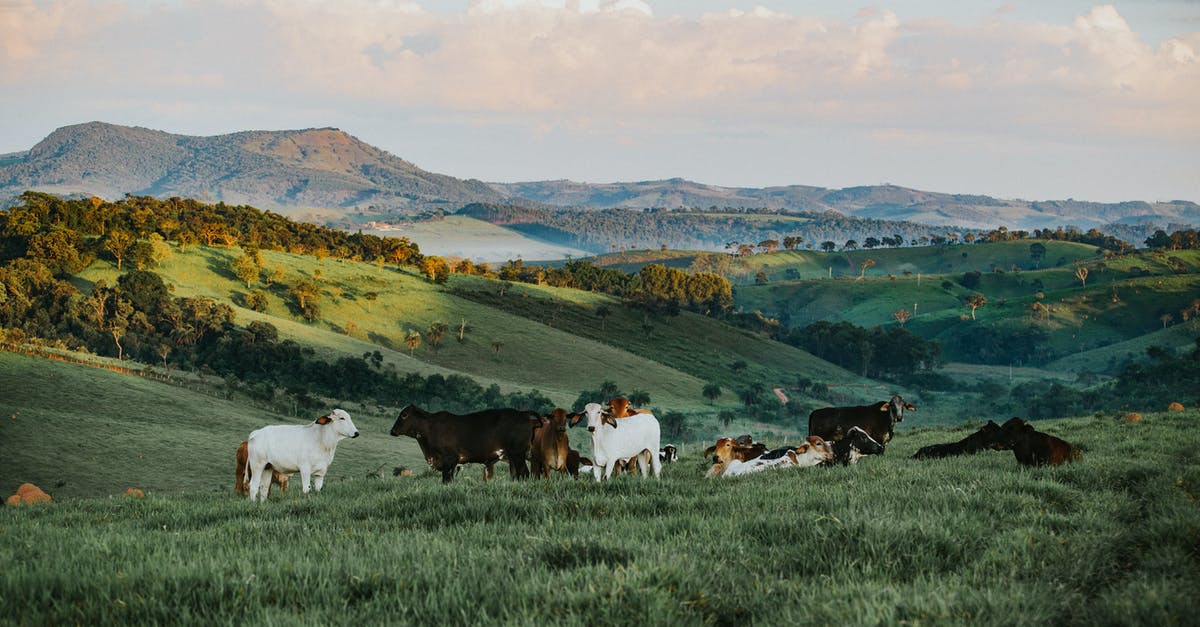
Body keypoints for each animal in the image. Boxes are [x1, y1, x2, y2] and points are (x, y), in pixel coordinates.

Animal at [388, 403, 540, 480]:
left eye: (404, 414)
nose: (392, 431)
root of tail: (522, 414)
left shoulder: (449, 459)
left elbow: (446, 479)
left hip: (518, 454)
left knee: (524, 473)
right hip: (513, 457)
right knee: (516, 475)